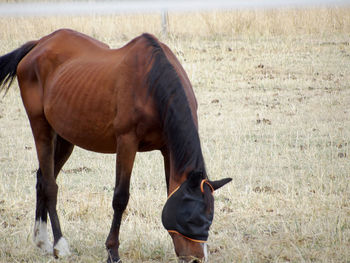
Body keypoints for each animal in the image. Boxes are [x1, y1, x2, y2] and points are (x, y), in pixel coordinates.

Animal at [0, 29, 232, 263]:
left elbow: (169, 189)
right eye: (191, 217)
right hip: (42, 128)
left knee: (42, 178)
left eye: (209, 216)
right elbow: (120, 198)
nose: (196, 258)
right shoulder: (127, 143)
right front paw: (112, 251)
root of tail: (39, 44)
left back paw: (42, 241)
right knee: (49, 185)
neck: (152, 84)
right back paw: (59, 244)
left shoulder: (168, 150)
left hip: (65, 138)